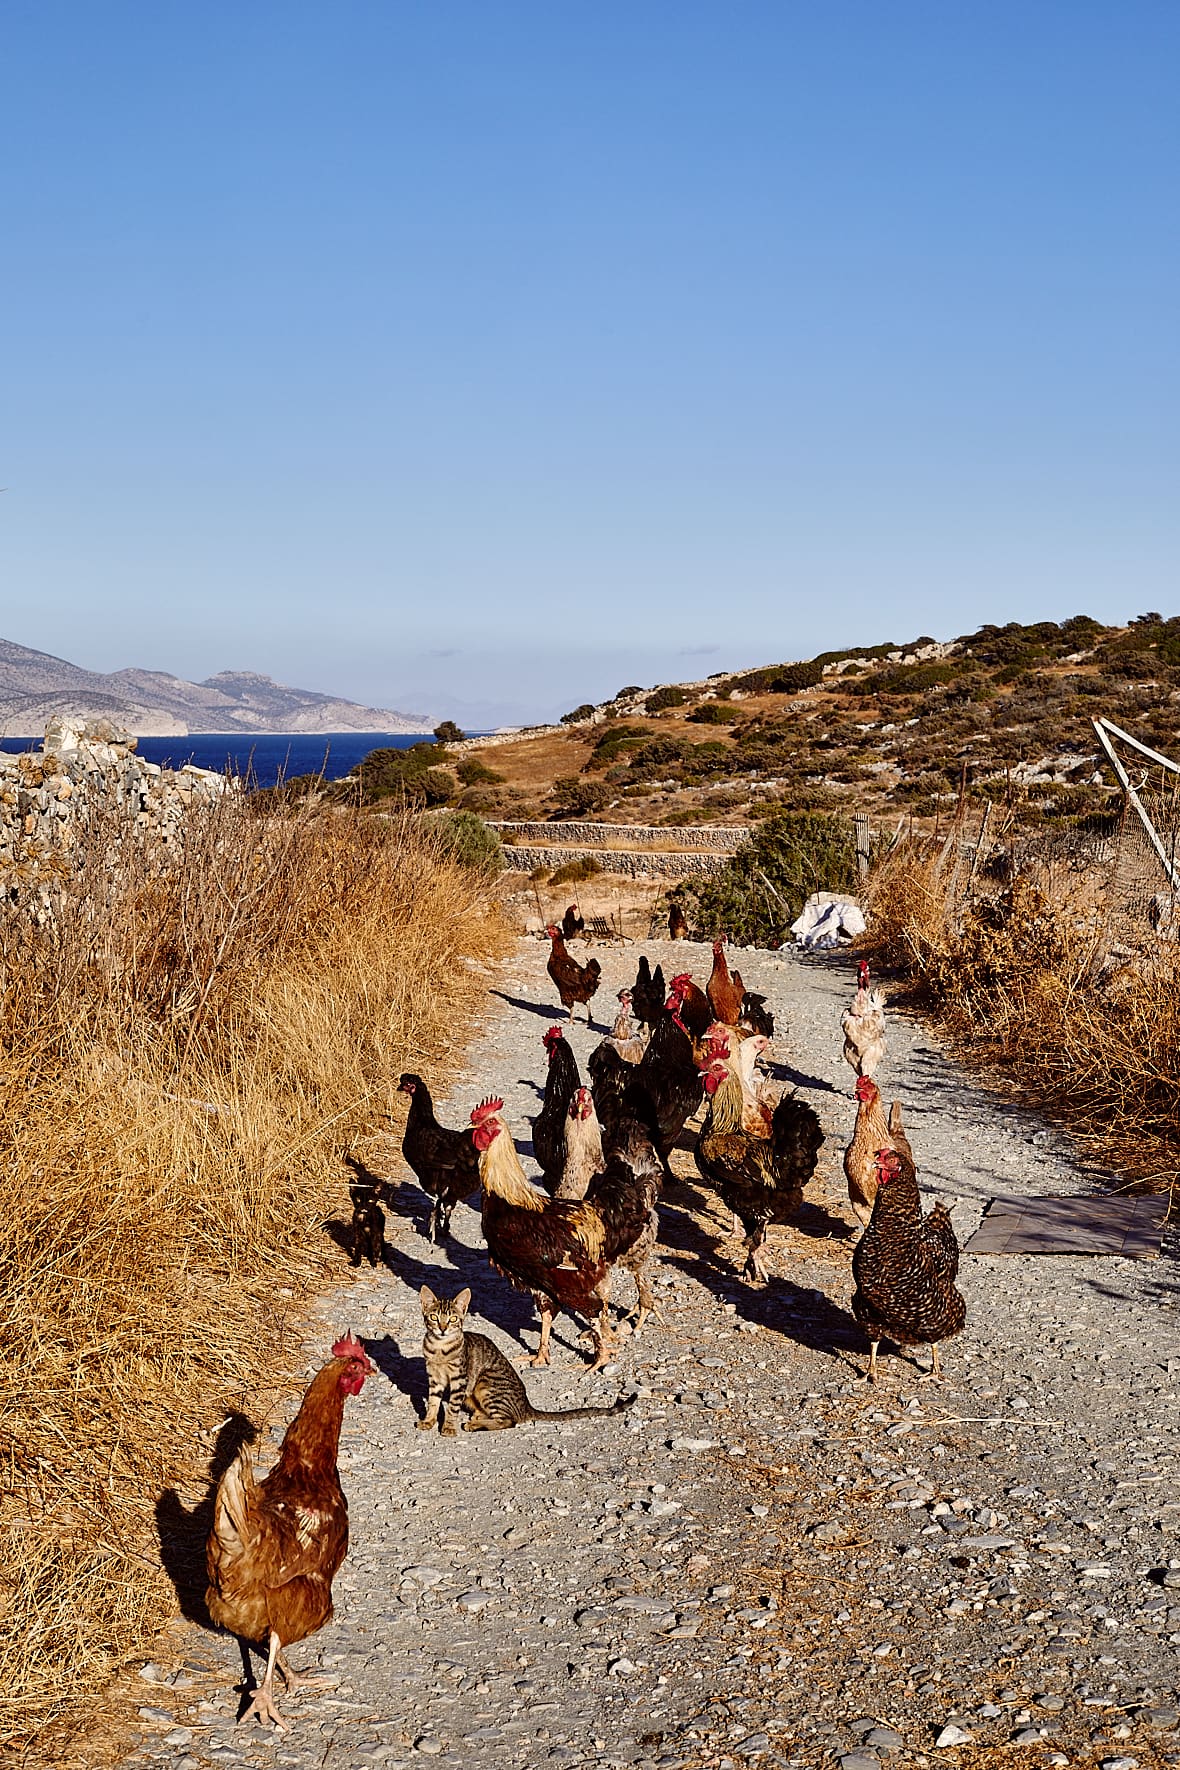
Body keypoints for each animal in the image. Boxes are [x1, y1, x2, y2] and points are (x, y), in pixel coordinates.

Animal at [417, 1288, 636, 1437]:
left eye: (453, 1319)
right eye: (434, 1317)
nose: (443, 1328)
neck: (439, 1349)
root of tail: (526, 1406)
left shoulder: (459, 1379)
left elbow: (452, 1407)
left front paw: (448, 1427)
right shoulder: (434, 1378)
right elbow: (434, 1402)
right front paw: (428, 1421)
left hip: (486, 1381)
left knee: (509, 1420)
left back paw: (475, 1424)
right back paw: (478, 1417)